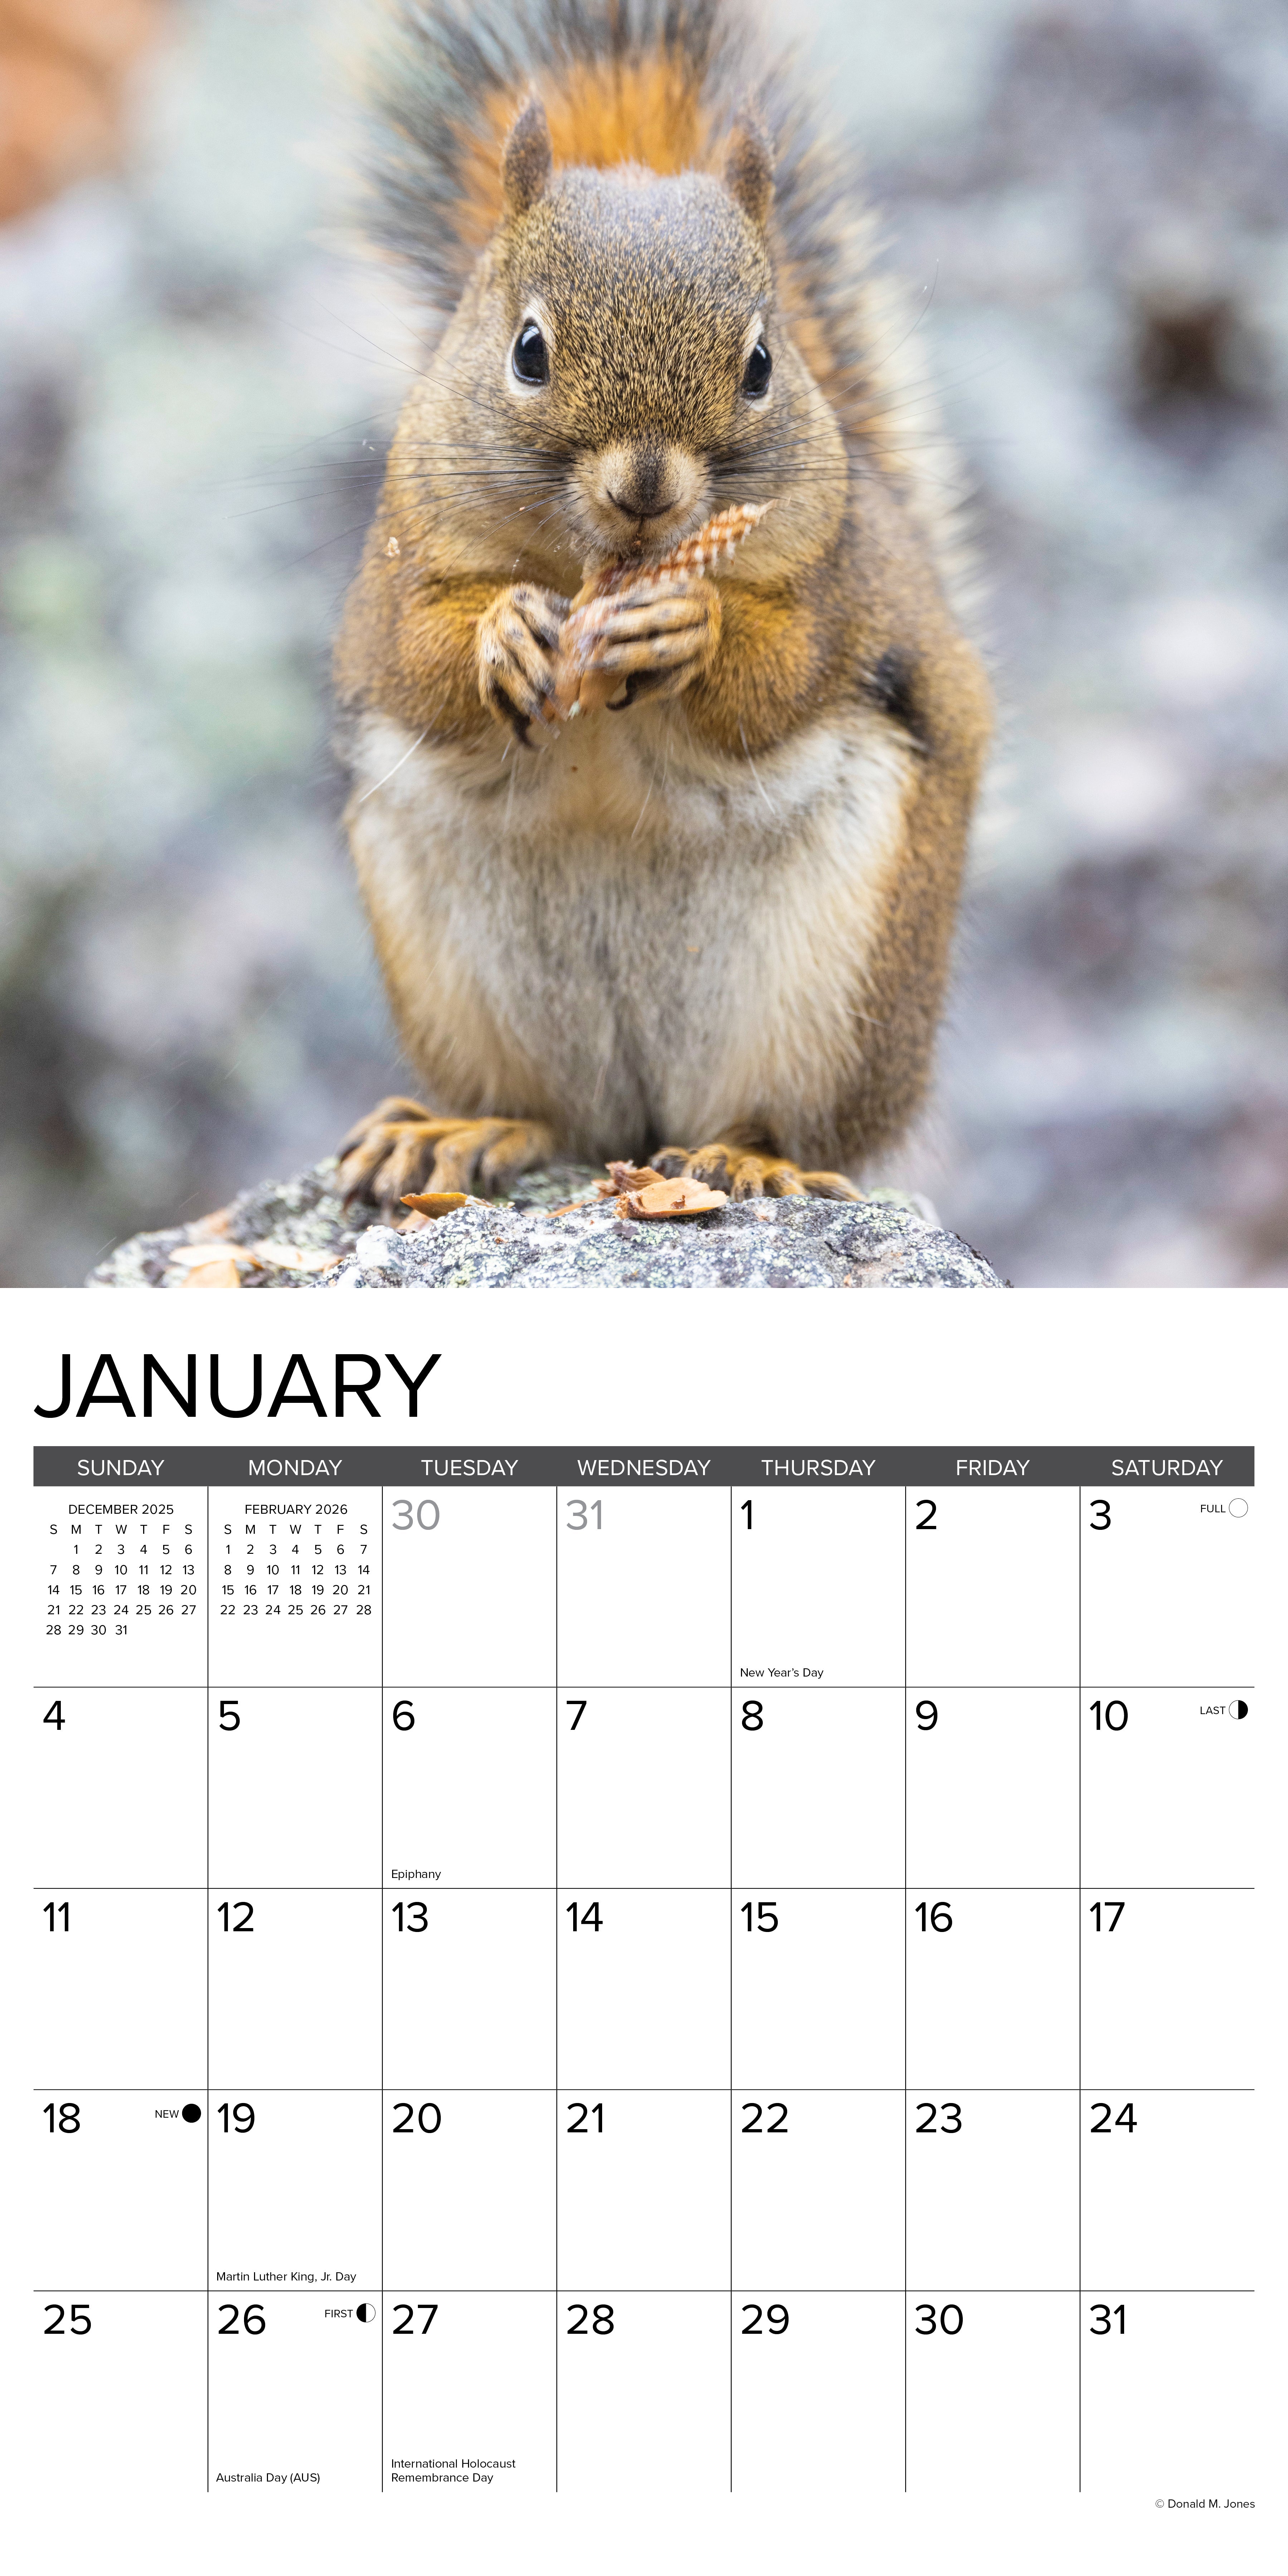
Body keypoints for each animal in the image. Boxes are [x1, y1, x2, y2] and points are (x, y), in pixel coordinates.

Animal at [333, 0, 992, 1211]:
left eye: (764, 363)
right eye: (527, 349)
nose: (645, 487)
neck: (598, 565)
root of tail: (642, 1119)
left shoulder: (840, 587)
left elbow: (784, 679)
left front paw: (694, 628)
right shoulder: (393, 572)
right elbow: (410, 658)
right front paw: (503, 631)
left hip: (835, 1001)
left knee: (790, 1118)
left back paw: (749, 1155)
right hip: (463, 987)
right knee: (547, 1109)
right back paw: (461, 1130)